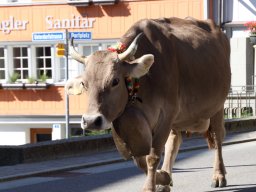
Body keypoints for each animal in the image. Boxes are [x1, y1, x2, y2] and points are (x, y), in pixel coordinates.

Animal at [65, 17, 231, 191]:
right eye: (84, 83)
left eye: (115, 81)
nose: (91, 121)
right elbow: (139, 159)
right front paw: (163, 178)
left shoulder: (166, 114)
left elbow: (152, 156)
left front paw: (150, 186)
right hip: (177, 119)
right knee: (173, 142)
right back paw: (166, 179)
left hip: (217, 107)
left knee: (218, 138)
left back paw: (219, 175)